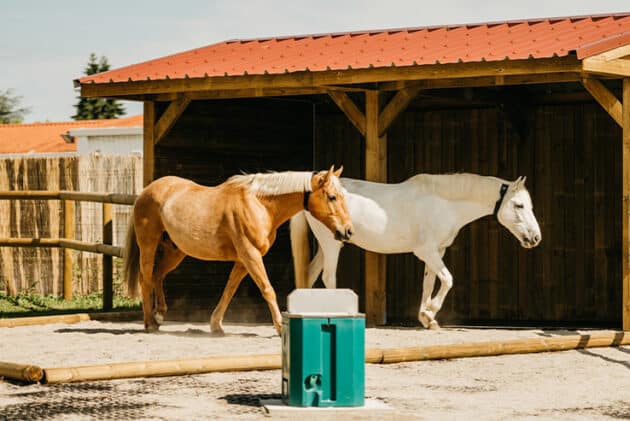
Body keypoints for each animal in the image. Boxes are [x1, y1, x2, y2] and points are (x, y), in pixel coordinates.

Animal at [122, 166, 350, 334]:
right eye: (332, 197)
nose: (347, 231)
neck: (260, 204)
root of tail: (146, 192)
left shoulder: (243, 260)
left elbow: (229, 289)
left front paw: (216, 325)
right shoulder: (251, 255)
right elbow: (267, 289)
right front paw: (279, 327)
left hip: (175, 252)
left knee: (158, 275)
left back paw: (159, 315)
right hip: (149, 245)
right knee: (146, 278)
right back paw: (149, 323)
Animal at [292, 172, 544, 326]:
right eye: (519, 205)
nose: (535, 238)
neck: (444, 203)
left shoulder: (437, 252)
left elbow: (429, 283)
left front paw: (426, 318)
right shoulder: (427, 251)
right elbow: (448, 279)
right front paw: (431, 311)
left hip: (325, 246)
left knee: (310, 274)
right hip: (331, 244)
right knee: (328, 277)